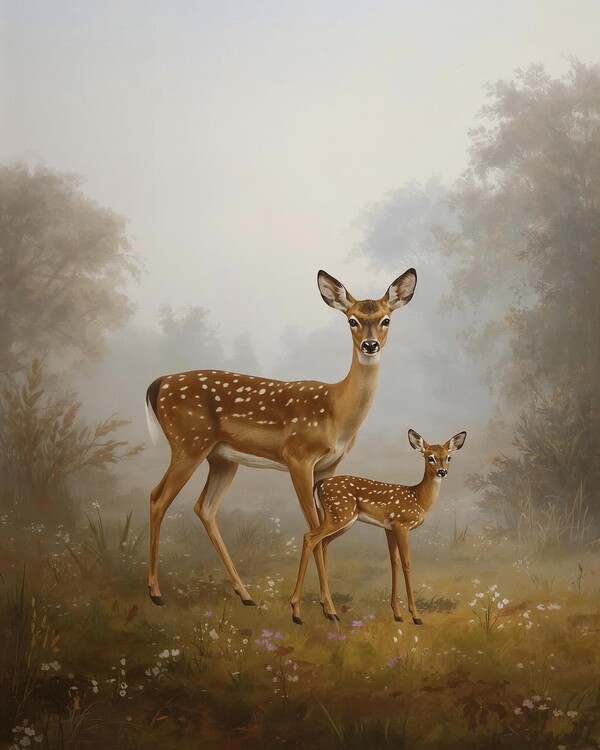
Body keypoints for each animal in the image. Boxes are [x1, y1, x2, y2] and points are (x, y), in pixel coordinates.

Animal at [145, 268, 417, 618]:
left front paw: (322, 605)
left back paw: (245, 594)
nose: (370, 345)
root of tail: (159, 383)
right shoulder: (298, 456)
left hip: (221, 457)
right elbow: (313, 526)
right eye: (352, 320)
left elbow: (323, 532)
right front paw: (324, 608)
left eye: (386, 320)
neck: (337, 413)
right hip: (187, 442)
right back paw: (155, 592)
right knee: (158, 498)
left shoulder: (329, 466)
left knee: (204, 507)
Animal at [290, 428, 467, 625]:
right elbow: (406, 563)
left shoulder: (389, 528)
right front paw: (415, 616)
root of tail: (319, 484)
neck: (419, 499)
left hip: (334, 517)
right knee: (310, 537)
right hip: (340, 514)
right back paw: (297, 612)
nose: (442, 472)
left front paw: (397, 614)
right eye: (430, 457)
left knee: (322, 543)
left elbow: (393, 562)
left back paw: (328, 610)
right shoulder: (401, 524)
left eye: (449, 457)